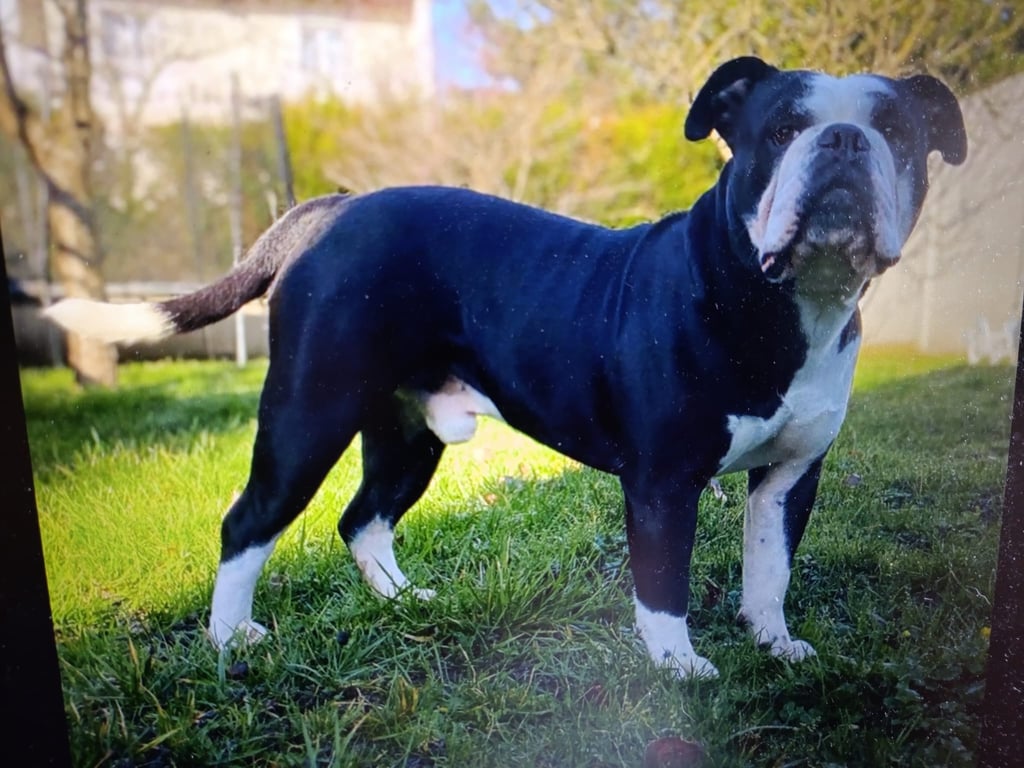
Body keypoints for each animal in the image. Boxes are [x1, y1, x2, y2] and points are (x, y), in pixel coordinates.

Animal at [46, 57, 966, 678]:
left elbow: (770, 570)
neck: (780, 302)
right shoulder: (663, 483)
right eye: (779, 131)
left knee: (362, 519)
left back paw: (406, 601)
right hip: (308, 416)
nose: (842, 139)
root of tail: (332, 208)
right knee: (248, 523)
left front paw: (774, 643)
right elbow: (662, 586)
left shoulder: (790, 477)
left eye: (897, 132)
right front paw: (679, 666)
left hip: (405, 436)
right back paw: (231, 637)